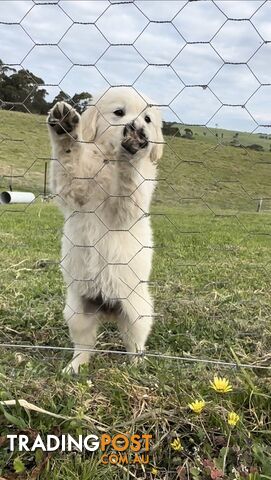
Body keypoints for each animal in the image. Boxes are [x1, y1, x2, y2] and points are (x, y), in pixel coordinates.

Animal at [47, 86, 164, 374]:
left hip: (138, 311)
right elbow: (68, 159)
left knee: (135, 343)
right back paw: (75, 367)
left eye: (147, 119)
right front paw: (66, 128)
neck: (110, 161)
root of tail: (107, 309)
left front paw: (133, 149)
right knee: (84, 345)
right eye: (119, 113)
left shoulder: (127, 208)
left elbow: (128, 182)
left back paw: (137, 366)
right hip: (77, 312)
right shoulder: (75, 191)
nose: (137, 128)